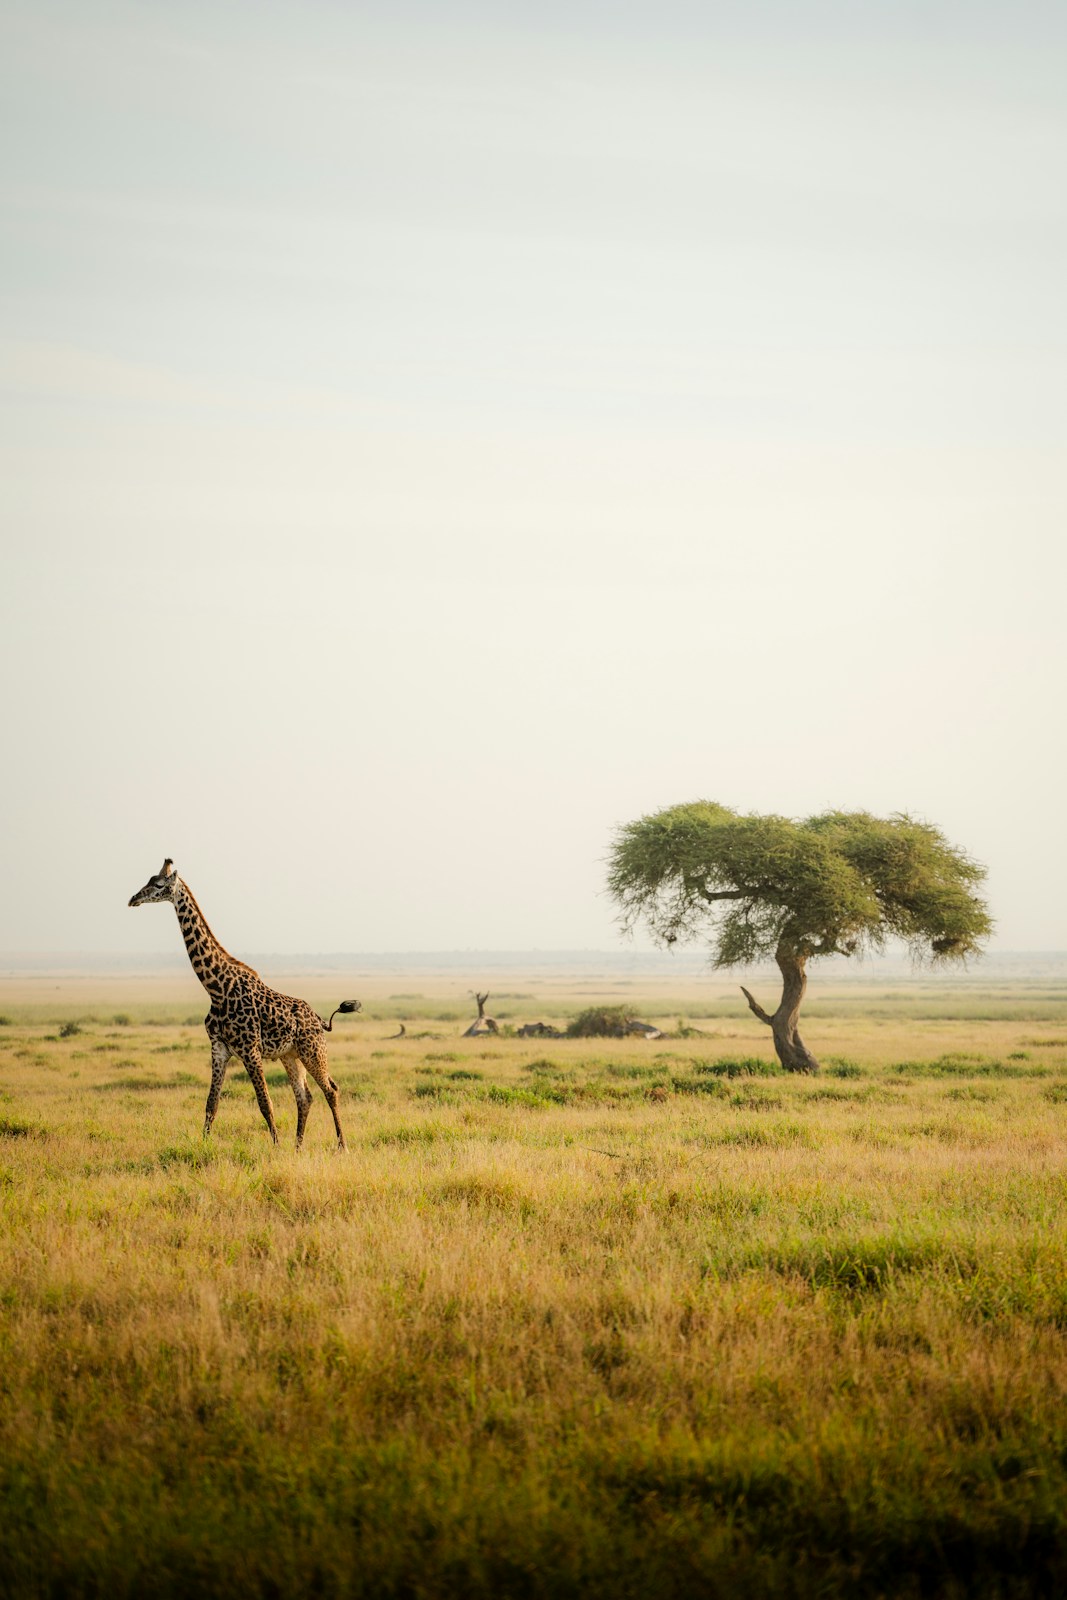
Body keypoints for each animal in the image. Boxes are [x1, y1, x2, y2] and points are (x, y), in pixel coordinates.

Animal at [128, 859, 359, 1149]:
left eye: (158, 884)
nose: (133, 899)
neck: (216, 988)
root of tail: (318, 1018)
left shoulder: (250, 1050)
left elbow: (265, 1103)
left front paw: (275, 1147)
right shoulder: (218, 1048)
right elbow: (211, 1104)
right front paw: (204, 1145)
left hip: (313, 1050)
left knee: (331, 1089)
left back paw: (342, 1146)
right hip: (290, 1055)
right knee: (304, 1096)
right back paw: (298, 1147)